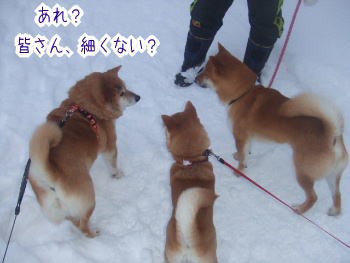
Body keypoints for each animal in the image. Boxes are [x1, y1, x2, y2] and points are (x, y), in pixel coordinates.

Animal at [28, 66, 140, 237]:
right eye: (122, 93)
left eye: (125, 88)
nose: (138, 97)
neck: (84, 107)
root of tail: (52, 173)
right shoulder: (110, 146)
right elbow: (113, 164)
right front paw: (117, 174)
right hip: (88, 199)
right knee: (83, 225)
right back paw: (94, 234)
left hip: (52, 204)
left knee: (71, 218)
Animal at [196, 43, 348, 217]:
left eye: (205, 72)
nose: (195, 78)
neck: (243, 94)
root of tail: (333, 136)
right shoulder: (247, 138)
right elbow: (245, 152)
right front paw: (239, 157)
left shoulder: (240, 136)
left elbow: (242, 157)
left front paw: (238, 171)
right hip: (332, 176)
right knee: (337, 194)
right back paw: (334, 211)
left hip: (303, 171)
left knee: (313, 197)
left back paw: (299, 209)